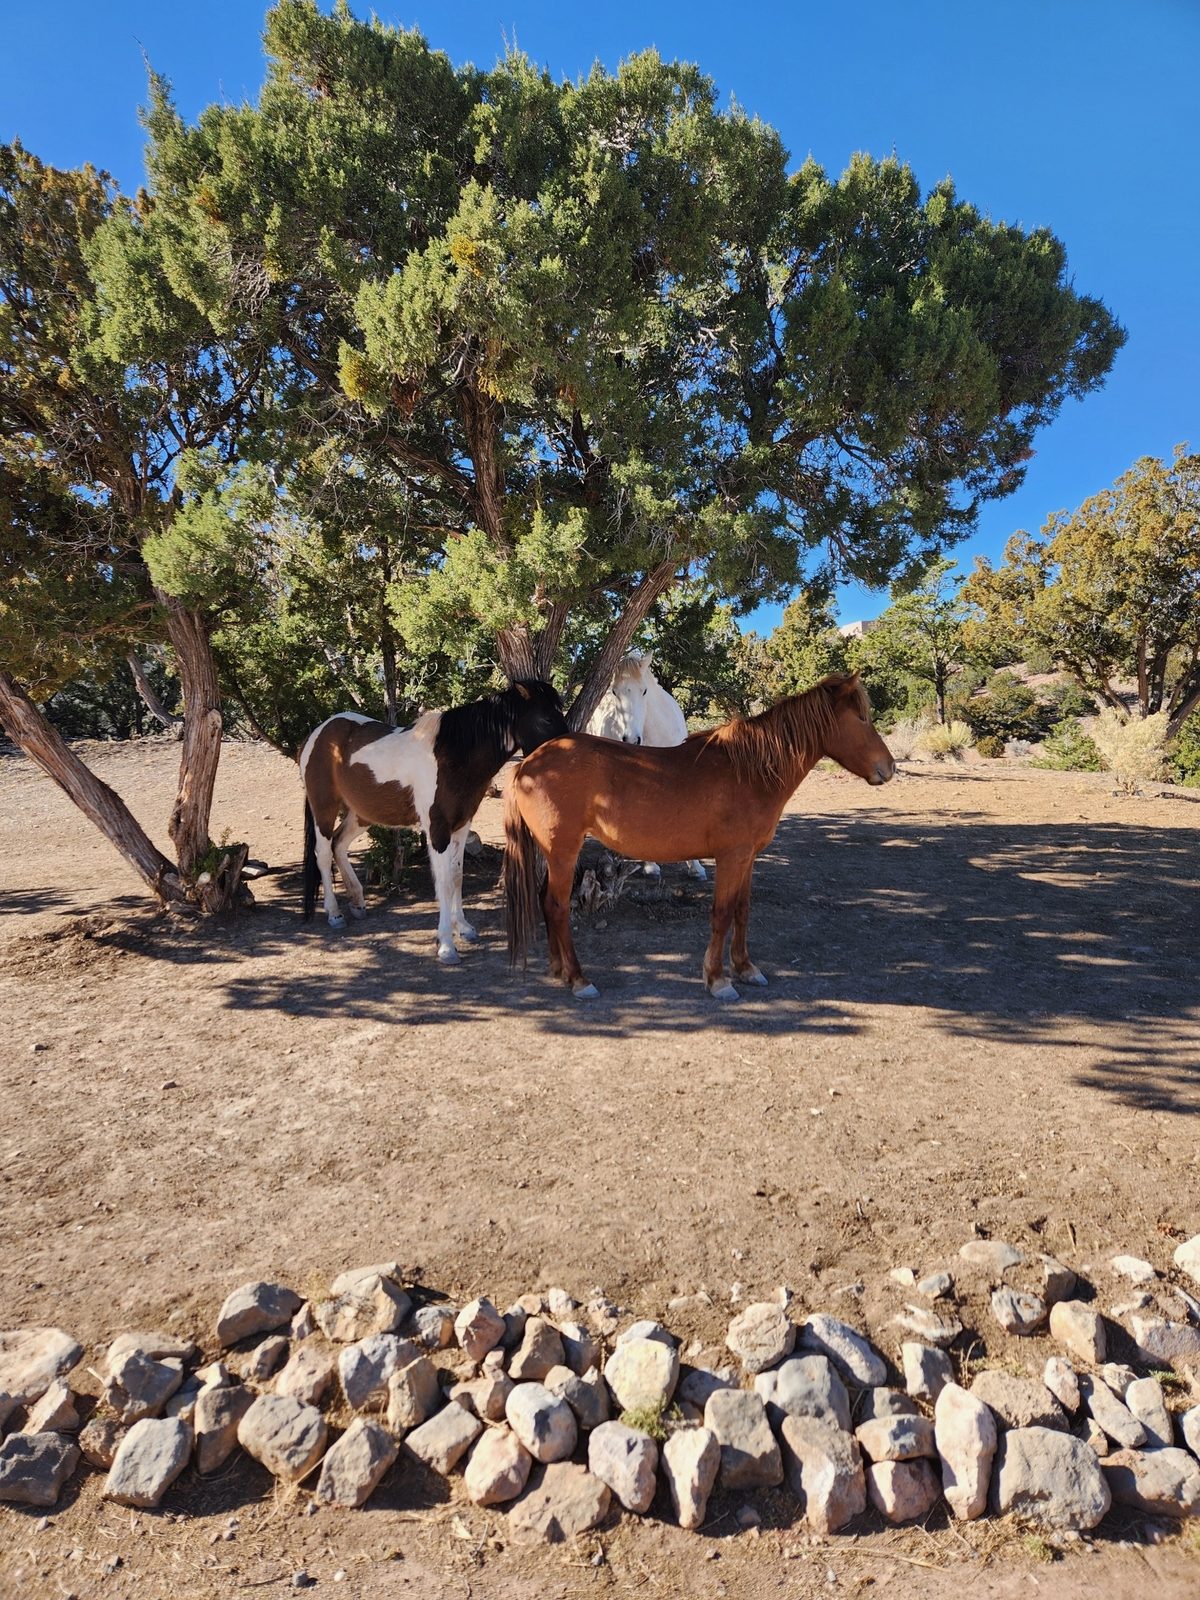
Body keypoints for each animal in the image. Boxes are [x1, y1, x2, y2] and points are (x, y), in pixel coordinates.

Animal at [301, 679, 567, 963]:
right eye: (546, 718)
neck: (453, 756)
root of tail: (318, 734)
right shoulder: (438, 831)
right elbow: (445, 883)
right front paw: (447, 946)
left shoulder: (461, 827)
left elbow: (457, 876)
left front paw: (463, 928)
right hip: (324, 808)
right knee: (323, 854)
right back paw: (334, 913)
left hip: (360, 814)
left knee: (339, 844)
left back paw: (358, 902)